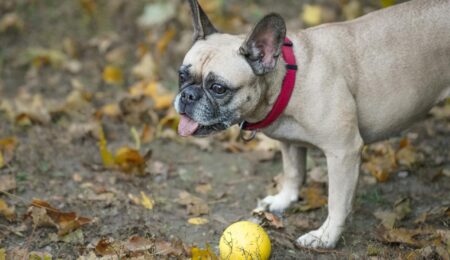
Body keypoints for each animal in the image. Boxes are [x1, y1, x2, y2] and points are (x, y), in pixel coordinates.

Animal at [173, 0, 450, 248]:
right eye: (182, 75)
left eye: (218, 88)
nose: (188, 96)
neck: (288, 77)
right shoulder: (289, 142)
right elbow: (293, 172)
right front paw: (283, 201)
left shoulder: (343, 152)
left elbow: (337, 201)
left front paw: (325, 237)